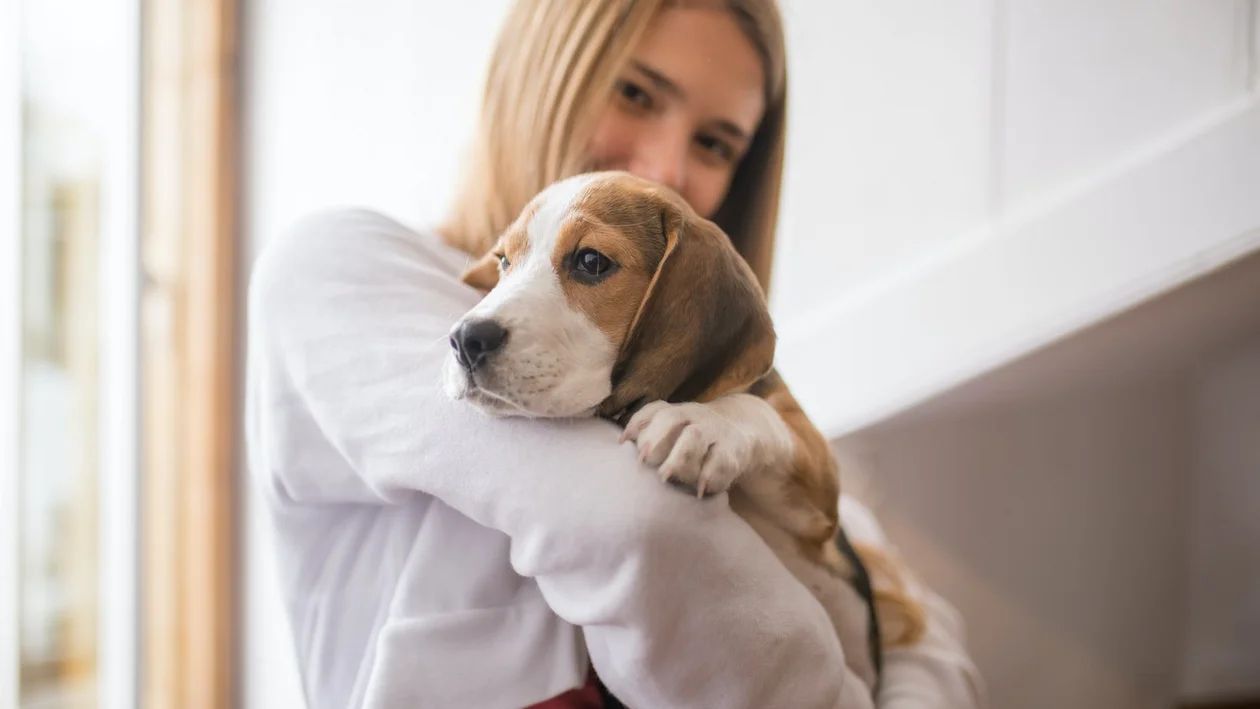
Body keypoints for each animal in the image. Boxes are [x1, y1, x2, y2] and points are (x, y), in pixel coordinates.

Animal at [446, 172, 927, 700]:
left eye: (591, 262)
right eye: (503, 262)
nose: (465, 339)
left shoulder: (819, 503)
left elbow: (755, 409)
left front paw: (699, 423)